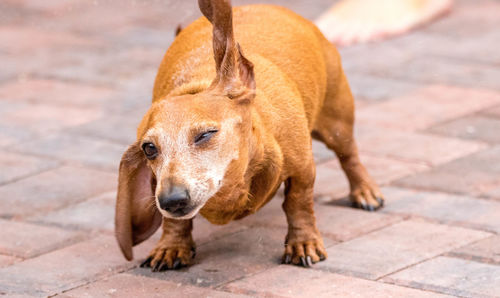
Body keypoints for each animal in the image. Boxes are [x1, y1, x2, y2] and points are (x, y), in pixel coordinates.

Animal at [115, 0, 384, 270]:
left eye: (205, 134)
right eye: (149, 148)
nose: (172, 200)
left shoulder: (303, 168)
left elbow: (298, 202)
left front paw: (303, 243)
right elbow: (175, 221)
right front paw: (171, 246)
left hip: (337, 125)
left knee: (349, 157)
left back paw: (365, 192)